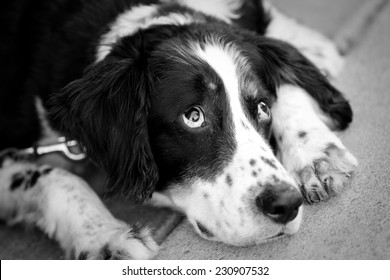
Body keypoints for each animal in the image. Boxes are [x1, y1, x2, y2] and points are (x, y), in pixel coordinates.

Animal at [0, 0, 358, 260]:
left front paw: (316, 154)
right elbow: (57, 178)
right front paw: (106, 237)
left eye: (261, 107)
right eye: (193, 117)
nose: (286, 204)